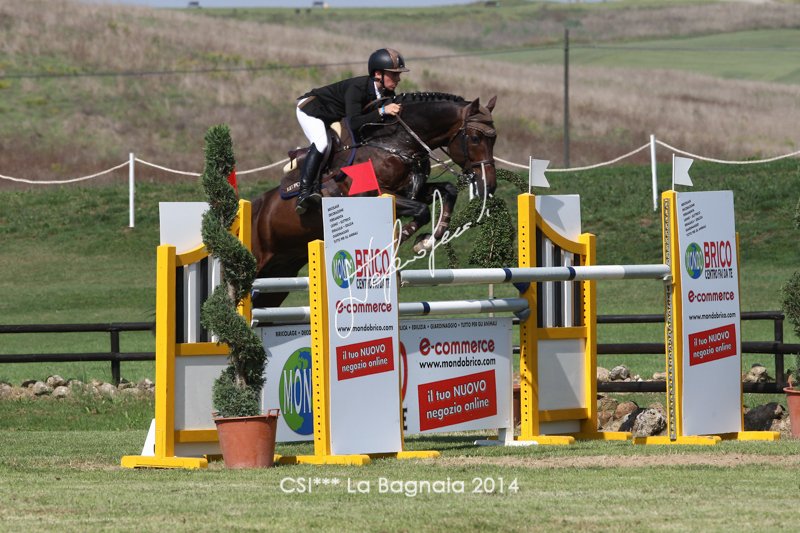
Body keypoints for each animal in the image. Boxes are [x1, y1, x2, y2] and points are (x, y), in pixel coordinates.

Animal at [250, 92, 498, 309]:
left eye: (494, 139)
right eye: (476, 138)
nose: (490, 185)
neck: (397, 143)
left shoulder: (412, 191)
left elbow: (448, 191)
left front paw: (426, 241)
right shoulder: (372, 196)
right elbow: (421, 211)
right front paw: (401, 241)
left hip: (279, 275)